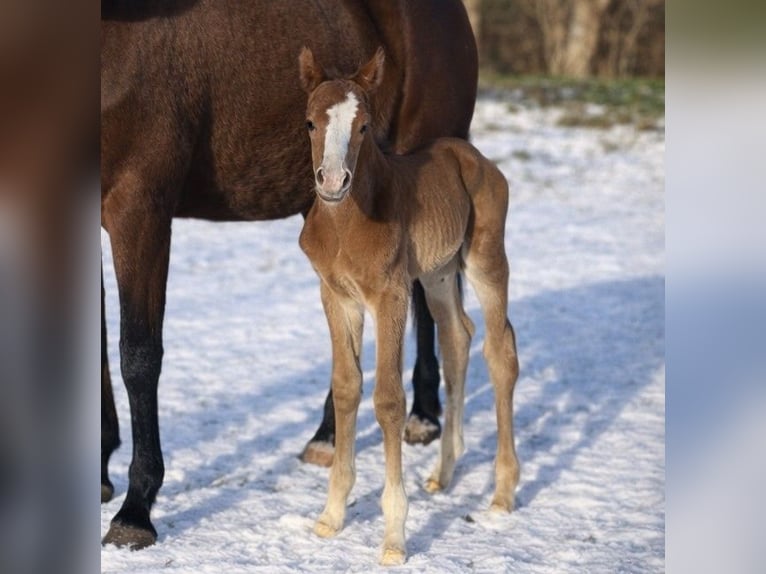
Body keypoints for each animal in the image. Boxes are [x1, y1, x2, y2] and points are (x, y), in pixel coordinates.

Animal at [298, 47, 520, 565]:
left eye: (363, 126)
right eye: (311, 123)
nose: (333, 181)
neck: (345, 223)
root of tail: (477, 157)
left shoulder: (391, 296)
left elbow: (388, 401)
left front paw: (394, 537)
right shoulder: (336, 296)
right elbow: (346, 388)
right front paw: (331, 515)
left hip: (485, 260)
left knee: (500, 351)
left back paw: (503, 492)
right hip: (438, 274)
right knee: (458, 336)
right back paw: (443, 473)